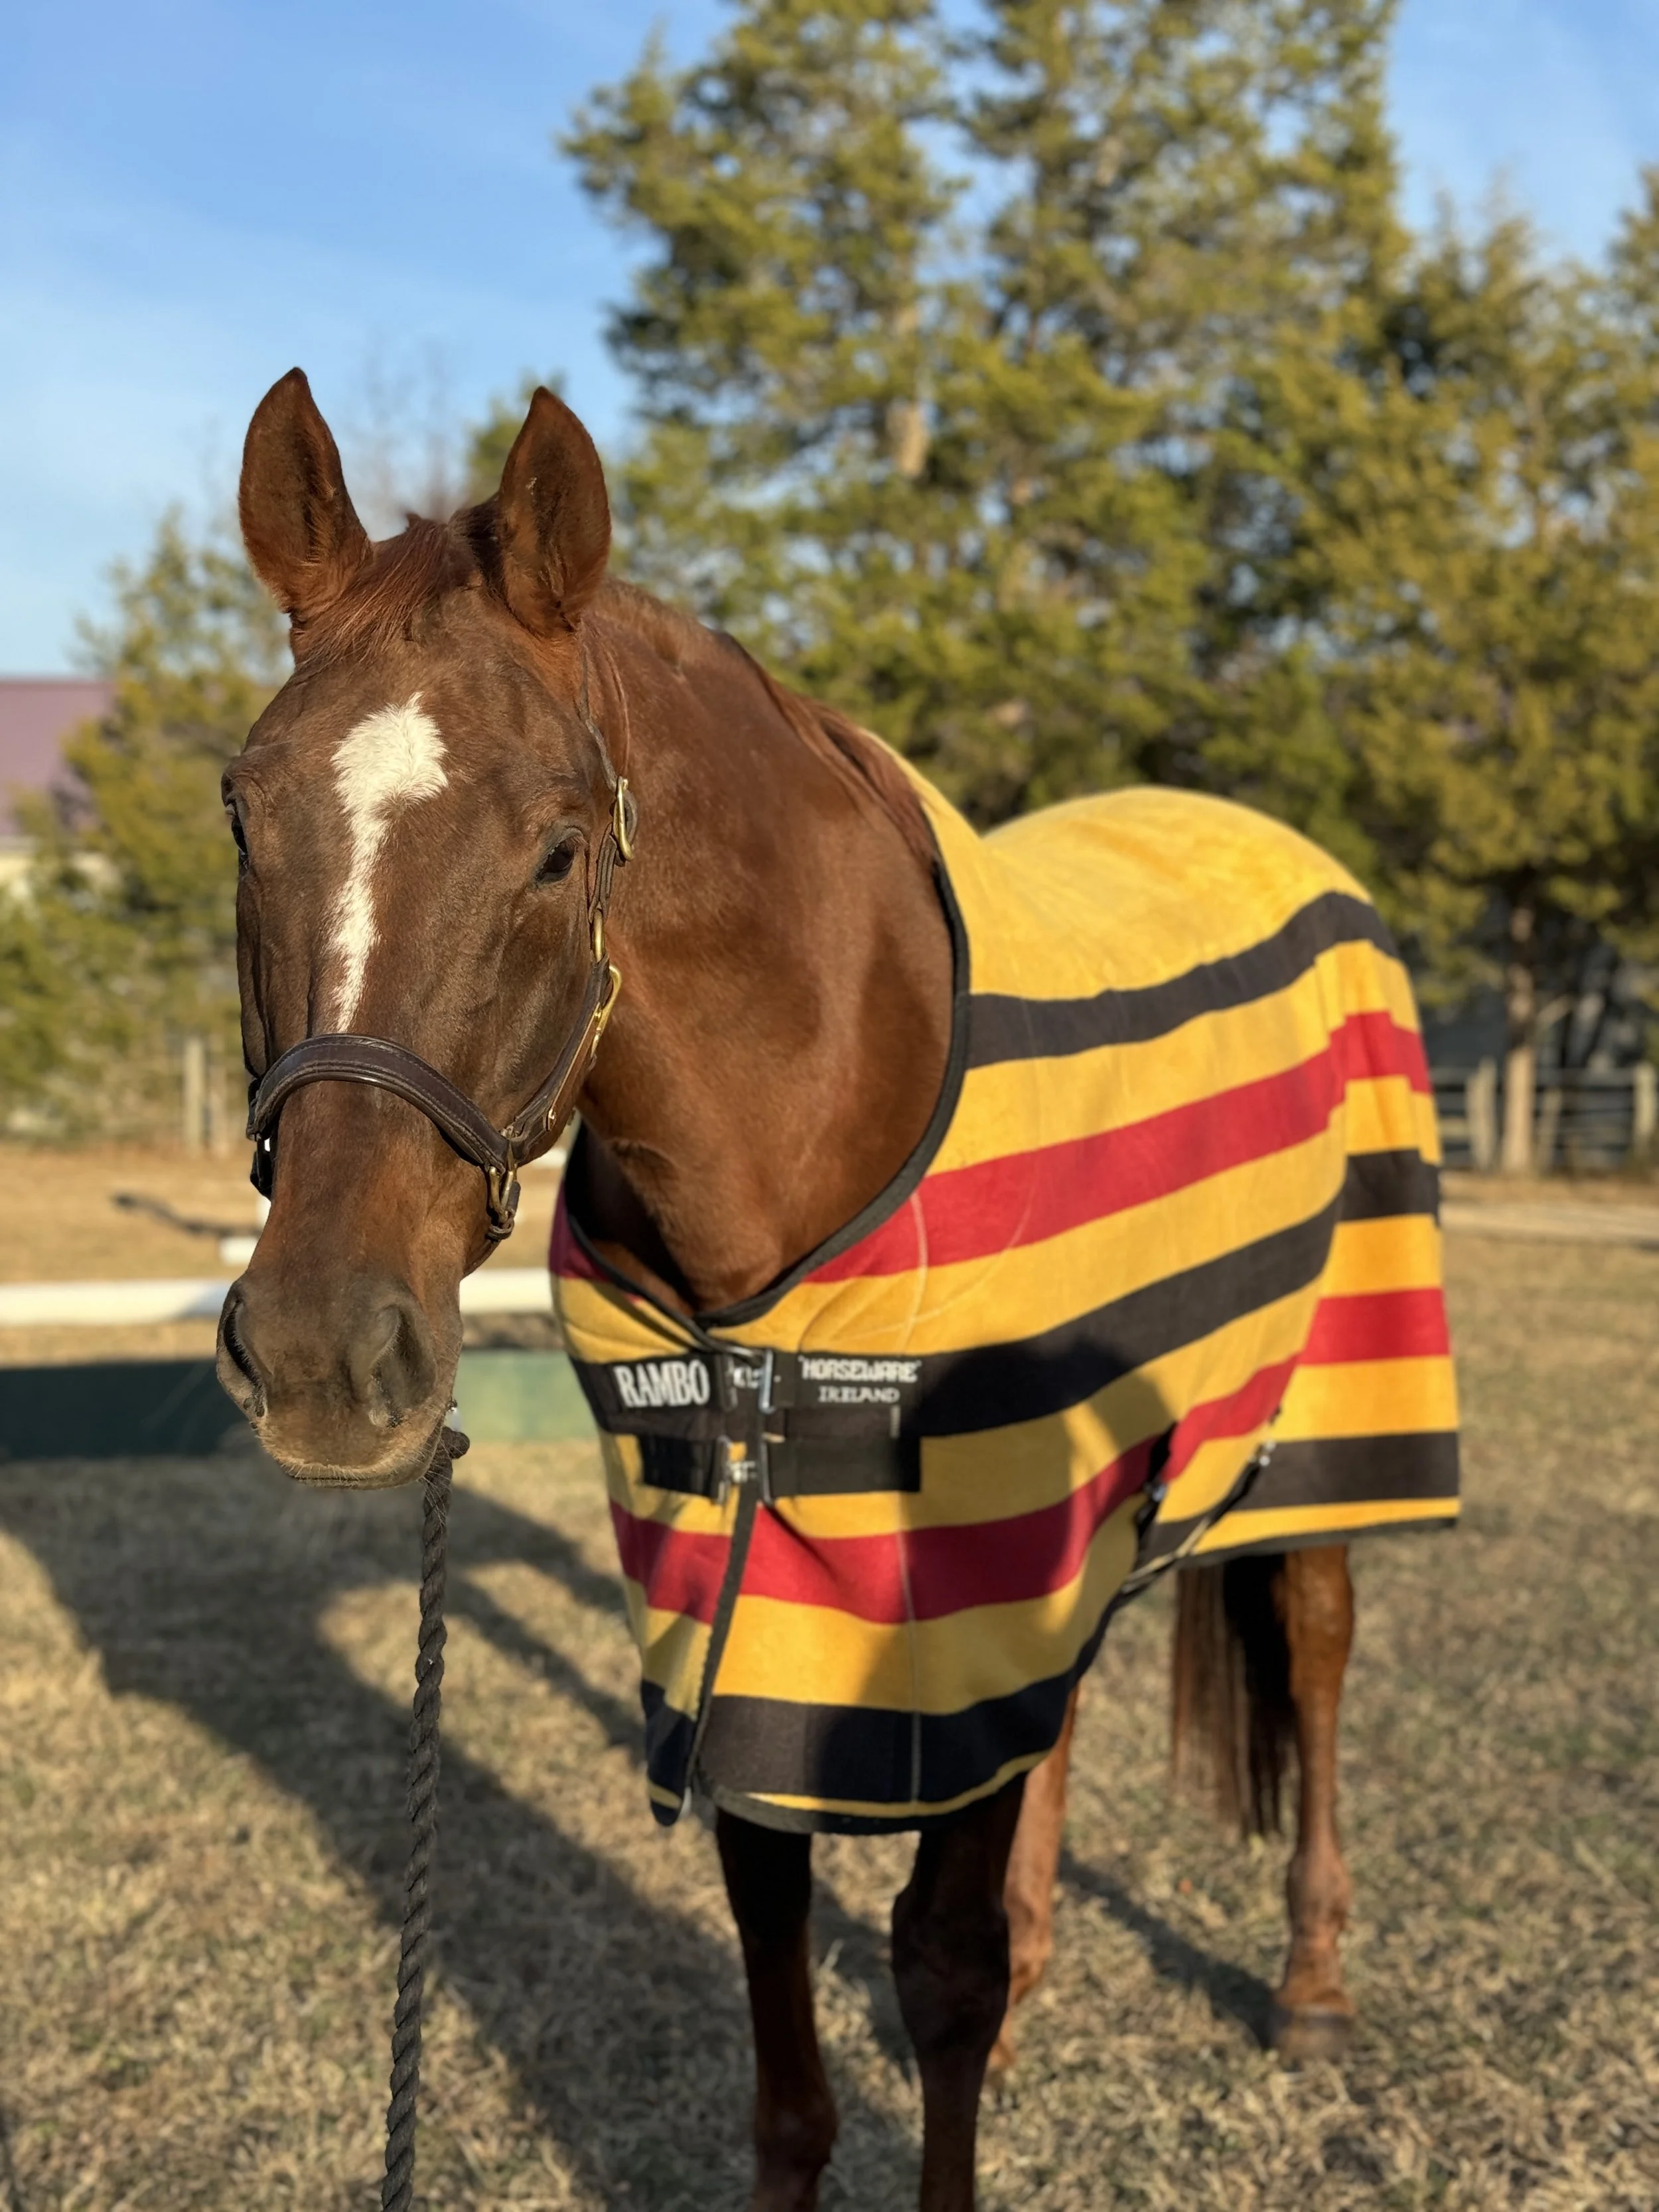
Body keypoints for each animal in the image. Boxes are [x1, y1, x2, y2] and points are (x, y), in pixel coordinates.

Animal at [220, 369, 1458, 2210]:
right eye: (246, 812)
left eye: (559, 850)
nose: (317, 1351)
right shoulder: (771, 1610)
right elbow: (783, 2002)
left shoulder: (969, 1560)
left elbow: (936, 1969)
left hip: (1317, 1423)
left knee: (1310, 1646)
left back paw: (1308, 1983)